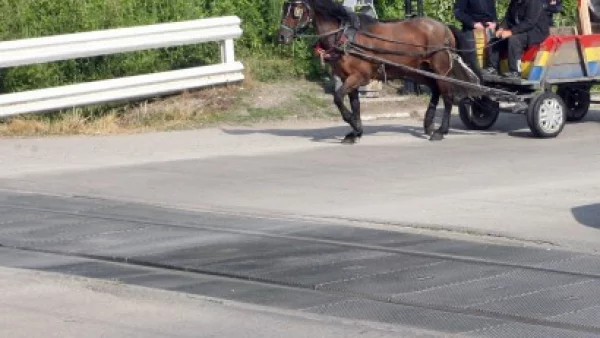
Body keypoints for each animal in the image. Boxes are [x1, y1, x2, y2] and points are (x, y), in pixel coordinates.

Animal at [278, 0, 480, 142]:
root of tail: (444, 27)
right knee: (436, 91)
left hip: (440, 70)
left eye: (296, 11)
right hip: (419, 72)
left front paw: (352, 123)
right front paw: (356, 131)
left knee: (448, 97)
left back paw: (440, 131)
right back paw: (429, 124)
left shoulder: (359, 76)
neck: (345, 36)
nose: (281, 36)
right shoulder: (347, 77)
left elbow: (338, 97)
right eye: (284, 7)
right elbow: (355, 104)